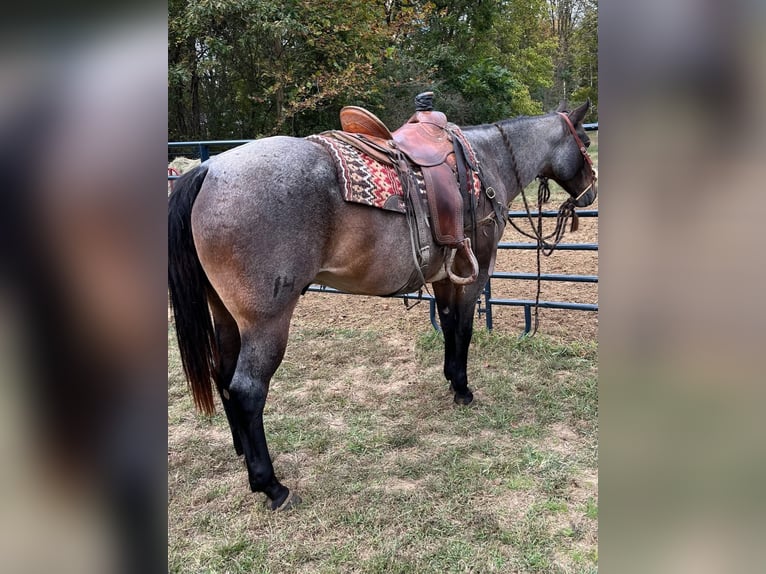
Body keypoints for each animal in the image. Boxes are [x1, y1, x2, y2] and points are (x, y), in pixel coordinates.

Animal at [168, 99, 600, 512]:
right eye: (585, 140)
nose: (590, 193)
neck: (485, 162)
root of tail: (209, 170)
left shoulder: (445, 276)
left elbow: (448, 325)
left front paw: (451, 379)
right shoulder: (472, 274)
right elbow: (463, 329)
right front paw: (463, 389)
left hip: (225, 316)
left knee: (223, 377)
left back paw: (241, 449)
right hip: (265, 322)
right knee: (247, 390)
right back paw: (271, 485)